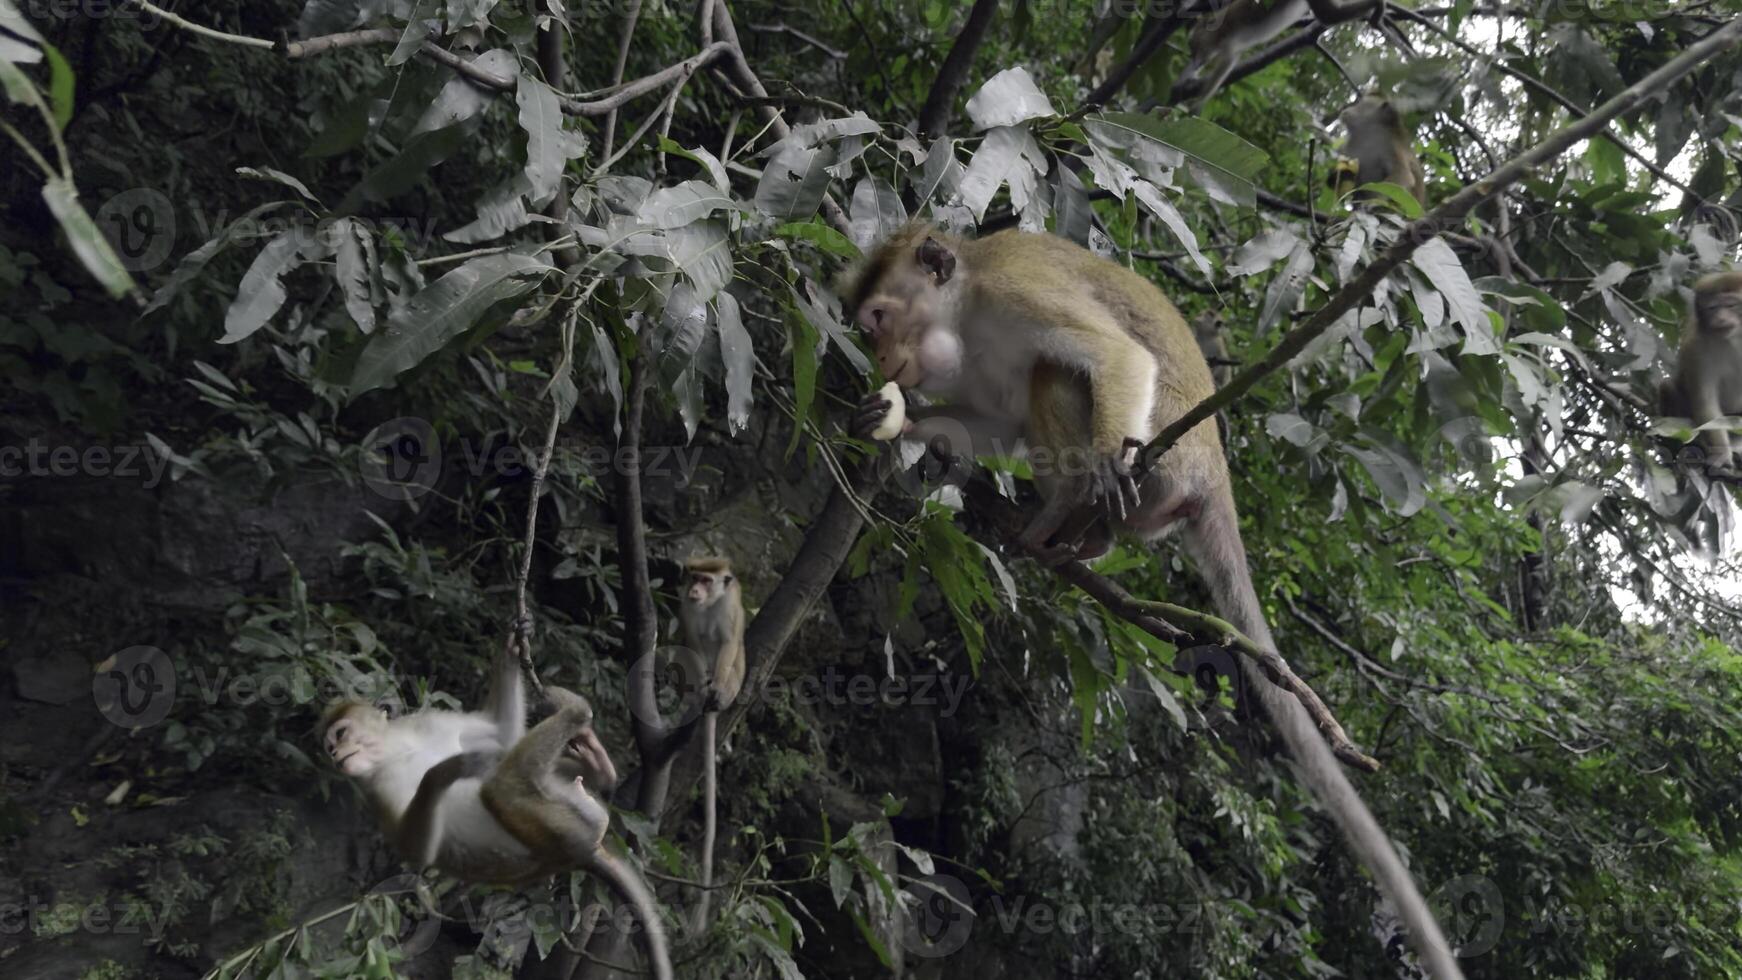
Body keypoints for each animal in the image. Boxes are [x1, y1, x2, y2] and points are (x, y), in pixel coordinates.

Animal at [320, 644, 672, 980]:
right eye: (330, 745)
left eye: (340, 734)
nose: (335, 754)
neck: (397, 751)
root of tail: (585, 853)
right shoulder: (375, 788)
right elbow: (419, 852)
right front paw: (445, 771)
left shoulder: (428, 722)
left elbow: (500, 730)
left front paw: (512, 646)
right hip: (555, 828)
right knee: (500, 786)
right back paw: (578, 717)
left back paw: (596, 759)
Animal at [836, 224, 1463, 980]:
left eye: (879, 320)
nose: (880, 358)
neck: (966, 309)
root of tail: (1214, 474)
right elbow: (991, 420)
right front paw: (893, 417)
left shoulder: (1017, 290)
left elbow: (1114, 355)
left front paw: (1105, 457)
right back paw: (1073, 534)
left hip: (1167, 465)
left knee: (1057, 371)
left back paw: (1078, 514)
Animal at [1658, 266, 1742, 469]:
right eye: (1712, 308)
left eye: (1731, 305)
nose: (1721, 318)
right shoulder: (1696, 348)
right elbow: (1706, 403)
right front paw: (1722, 455)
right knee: (1667, 386)